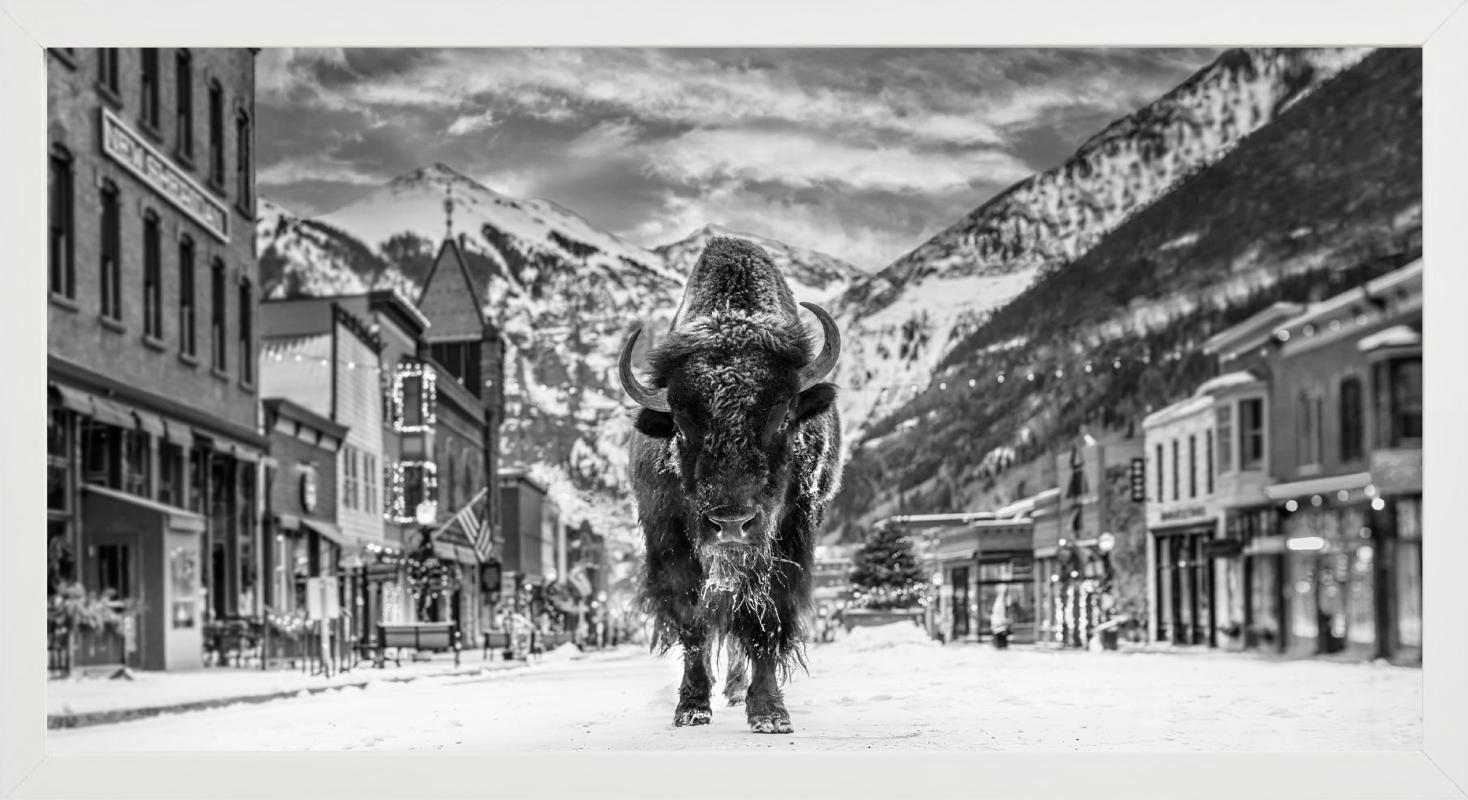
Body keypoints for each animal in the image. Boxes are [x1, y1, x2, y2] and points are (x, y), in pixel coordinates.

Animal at [619, 234, 845, 731]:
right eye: (682, 425)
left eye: (783, 416)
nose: (731, 525)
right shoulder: (670, 542)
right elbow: (693, 622)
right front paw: (691, 707)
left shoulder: (788, 540)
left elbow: (764, 621)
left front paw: (770, 713)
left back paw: (741, 691)